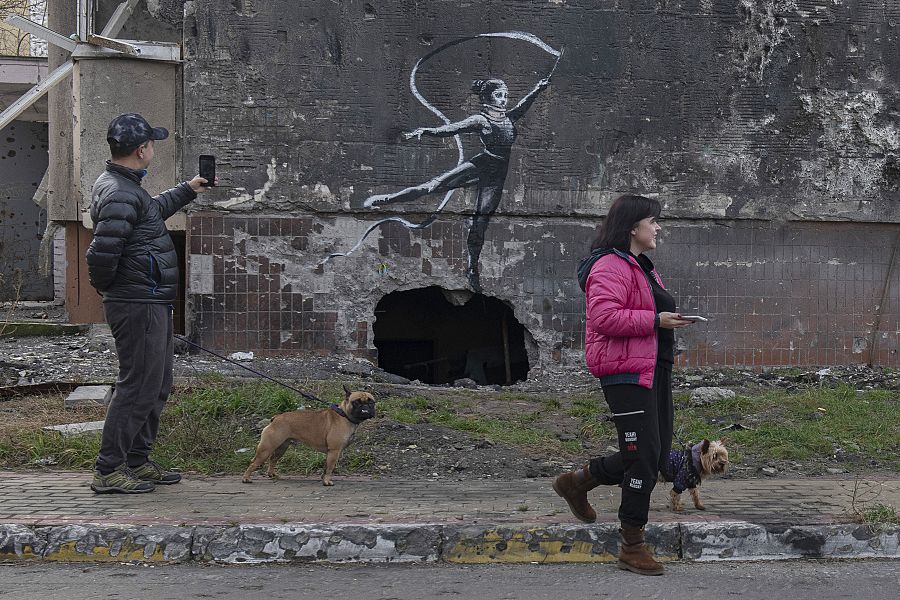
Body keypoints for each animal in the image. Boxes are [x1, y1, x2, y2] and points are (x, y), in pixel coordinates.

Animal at [241, 384, 374, 488]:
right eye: (356, 402)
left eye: (371, 401)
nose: (366, 407)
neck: (344, 415)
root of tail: (275, 418)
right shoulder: (334, 451)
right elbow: (330, 467)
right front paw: (327, 481)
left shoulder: (331, 452)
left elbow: (326, 467)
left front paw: (323, 478)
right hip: (267, 448)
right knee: (254, 462)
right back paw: (246, 478)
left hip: (282, 447)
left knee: (273, 459)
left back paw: (272, 474)